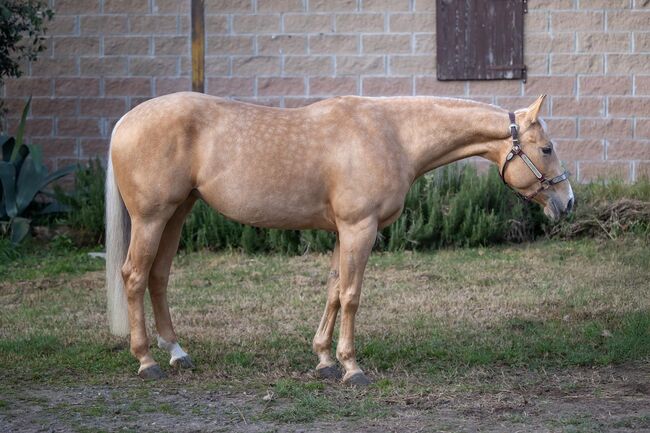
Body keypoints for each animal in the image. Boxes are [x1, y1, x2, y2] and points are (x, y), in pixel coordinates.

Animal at [106, 93, 572, 384]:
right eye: (547, 148)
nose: (567, 202)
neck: (392, 135)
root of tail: (124, 122)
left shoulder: (341, 232)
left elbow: (332, 291)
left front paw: (324, 360)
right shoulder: (359, 229)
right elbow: (351, 296)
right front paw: (352, 367)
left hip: (177, 213)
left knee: (158, 277)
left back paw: (177, 353)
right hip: (152, 217)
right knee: (135, 276)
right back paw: (147, 361)